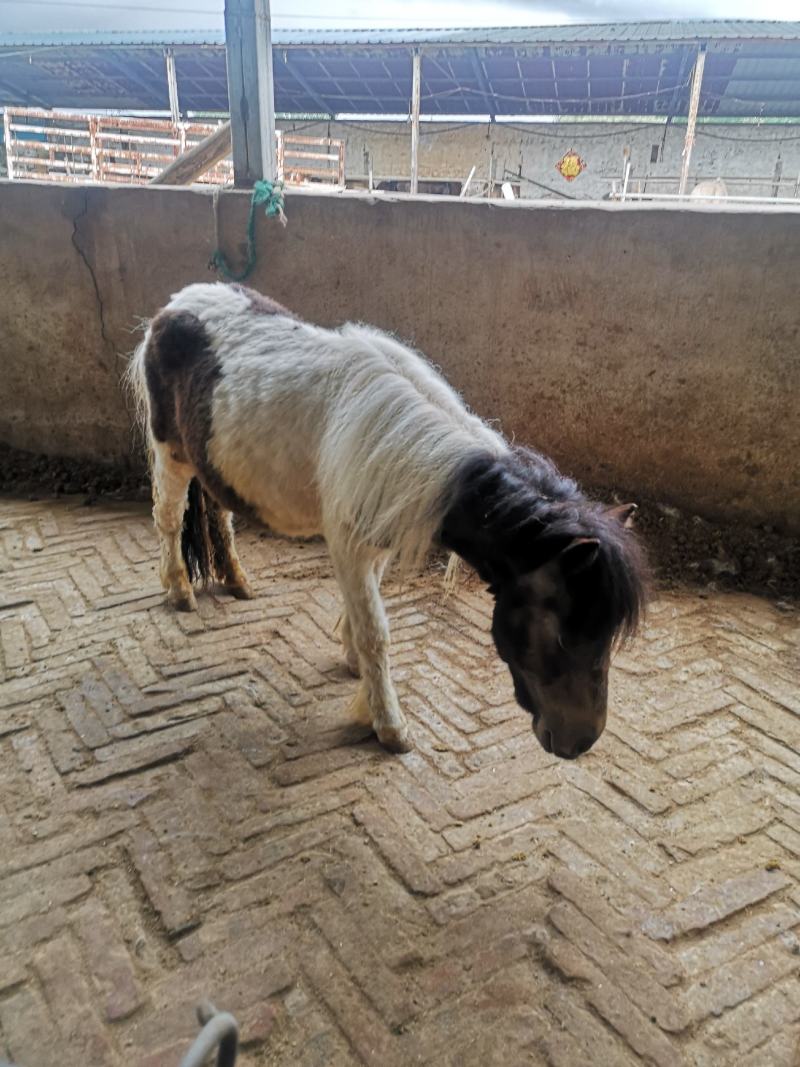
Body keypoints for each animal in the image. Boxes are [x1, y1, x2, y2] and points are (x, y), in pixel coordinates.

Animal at [127, 283, 647, 758]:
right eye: (562, 635)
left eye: (607, 634)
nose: (580, 742)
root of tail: (173, 307)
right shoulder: (350, 546)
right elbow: (377, 631)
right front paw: (389, 725)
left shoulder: (375, 542)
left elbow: (365, 613)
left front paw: (353, 663)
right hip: (171, 454)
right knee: (168, 518)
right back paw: (179, 591)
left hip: (213, 464)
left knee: (218, 515)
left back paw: (237, 582)